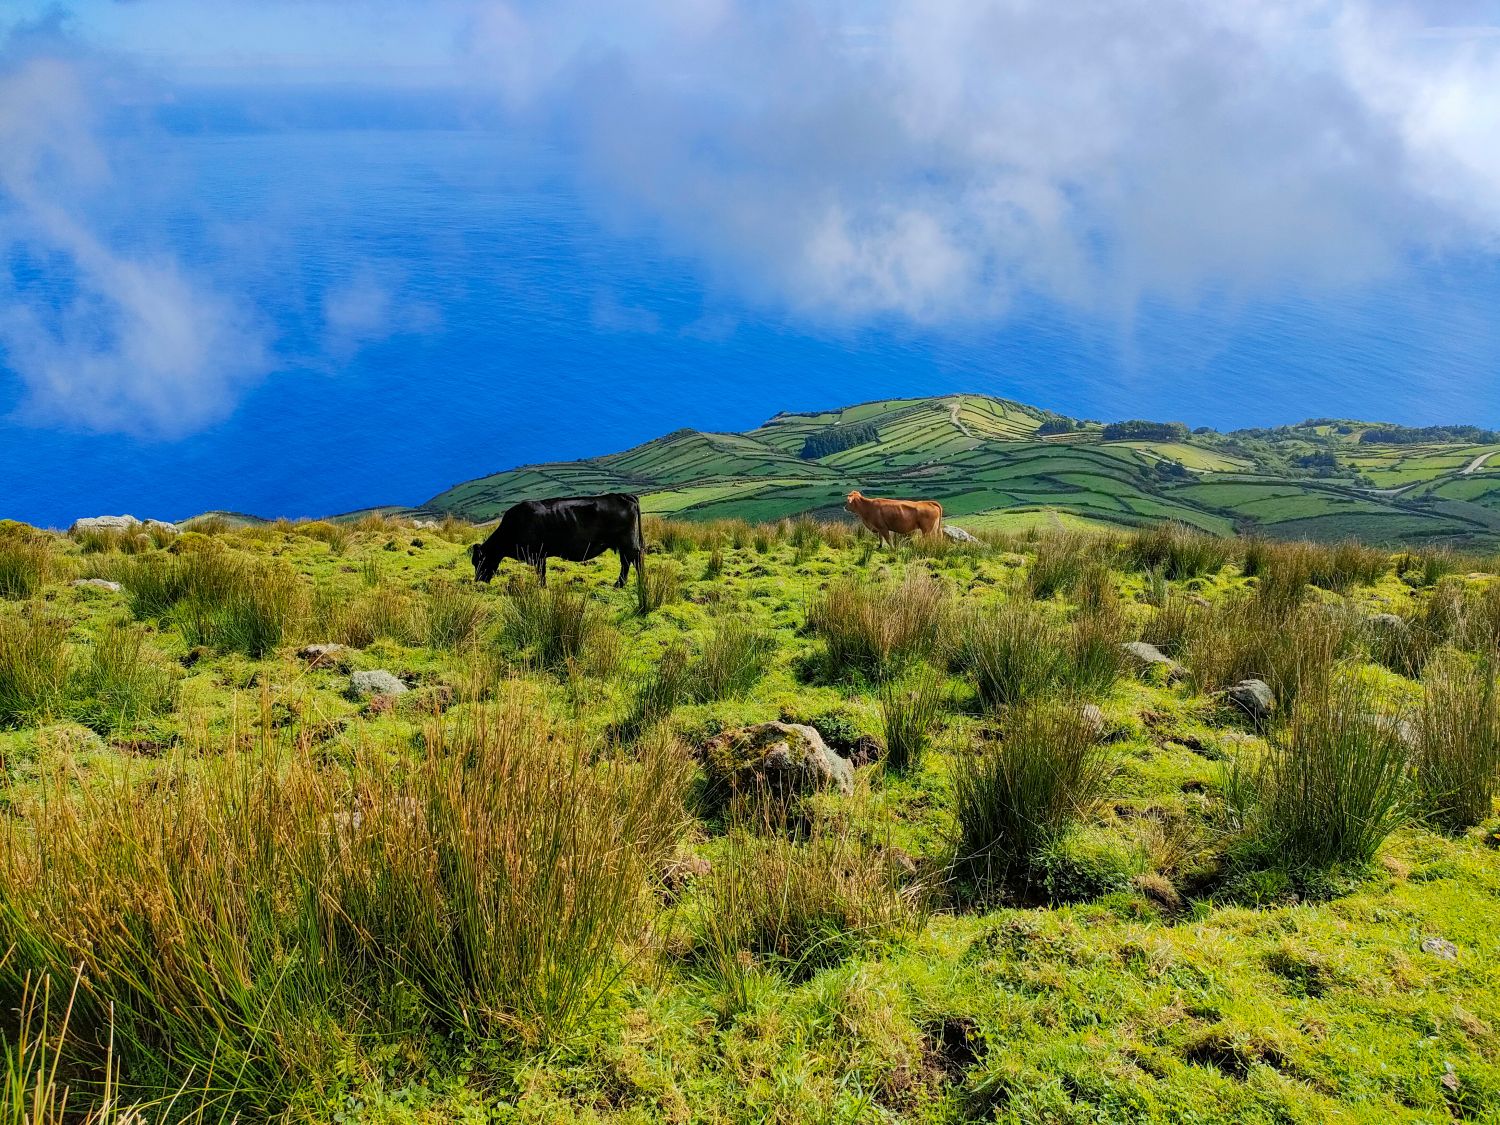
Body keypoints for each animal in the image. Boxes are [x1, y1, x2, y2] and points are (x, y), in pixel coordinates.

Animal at [468, 492, 645, 591]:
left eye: (479, 561)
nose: (477, 581)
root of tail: (623, 495)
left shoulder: (538, 554)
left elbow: (541, 573)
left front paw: (542, 587)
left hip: (627, 542)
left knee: (633, 560)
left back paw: (629, 583)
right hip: (624, 544)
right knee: (627, 562)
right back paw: (622, 584)